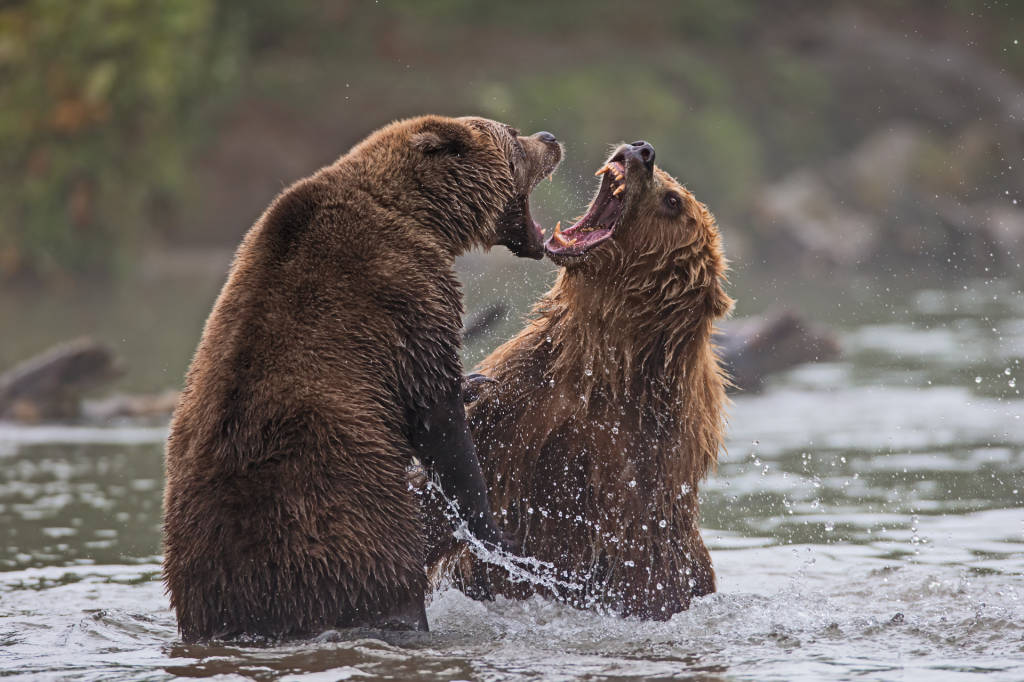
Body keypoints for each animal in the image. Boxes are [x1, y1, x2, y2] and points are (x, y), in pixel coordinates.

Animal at [161, 114, 561, 638]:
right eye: (513, 135)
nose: (551, 139)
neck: (422, 216)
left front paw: (476, 384)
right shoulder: (405, 293)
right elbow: (436, 415)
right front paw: (497, 532)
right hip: (351, 525)